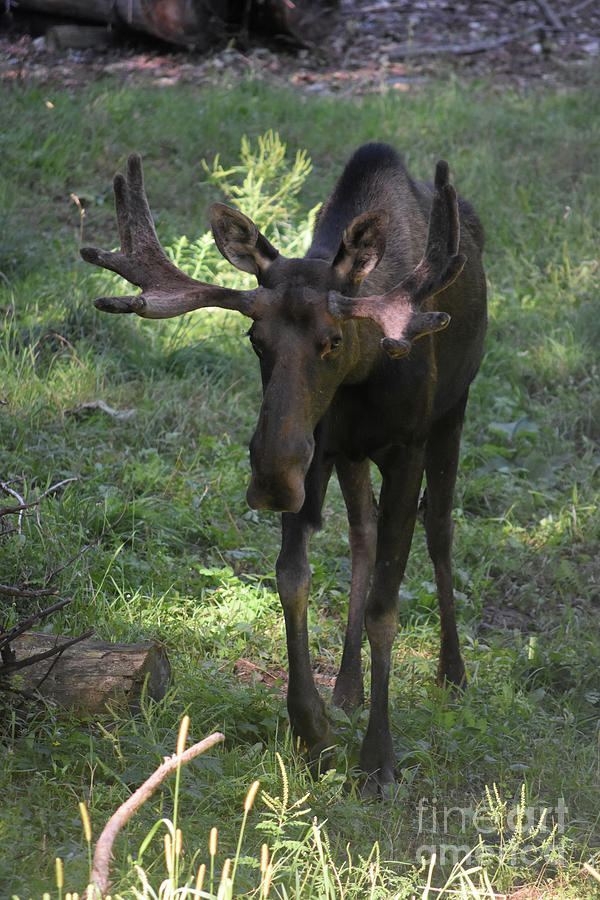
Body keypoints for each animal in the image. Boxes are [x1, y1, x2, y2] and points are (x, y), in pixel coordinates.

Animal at [82, 144, 488, 792]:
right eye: (255, 338)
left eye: (331, 340)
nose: (270, 480)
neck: (360, 379)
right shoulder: (319, 450)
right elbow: (293, 577)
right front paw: (312, 730)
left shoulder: (407, 445)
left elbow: (386, 606)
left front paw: (379, 760)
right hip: (350, 458)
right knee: (362, 533)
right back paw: (346, 687)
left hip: (454, 410)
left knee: (441, 528)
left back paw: (453, 673)